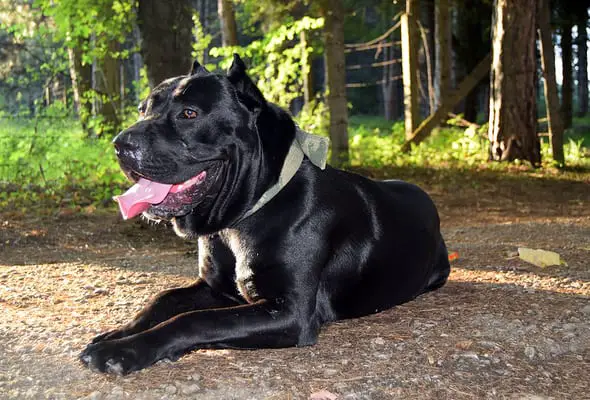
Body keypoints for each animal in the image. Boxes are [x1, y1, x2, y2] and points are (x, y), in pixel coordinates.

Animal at [78, 55, 450, 376]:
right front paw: (116, 333)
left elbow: (197, 319)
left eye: (189, 113)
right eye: (143, 110)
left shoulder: (290, 311)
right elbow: (162, 300)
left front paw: (123, 351)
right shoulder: (214, 287)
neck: (243, 215)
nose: (119, 145)